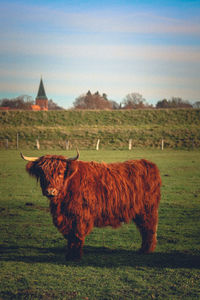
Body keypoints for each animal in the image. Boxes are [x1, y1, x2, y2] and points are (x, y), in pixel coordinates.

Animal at [20, 151, 161, 258]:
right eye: (42, 173)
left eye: (60, 172)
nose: (50, 191)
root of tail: (147, 163)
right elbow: (70, 235)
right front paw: (70, 253)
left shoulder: (79, 215)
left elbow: (76, 234)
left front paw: (74, 256)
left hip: (148, 209)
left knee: (149, 228)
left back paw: (146, 250)